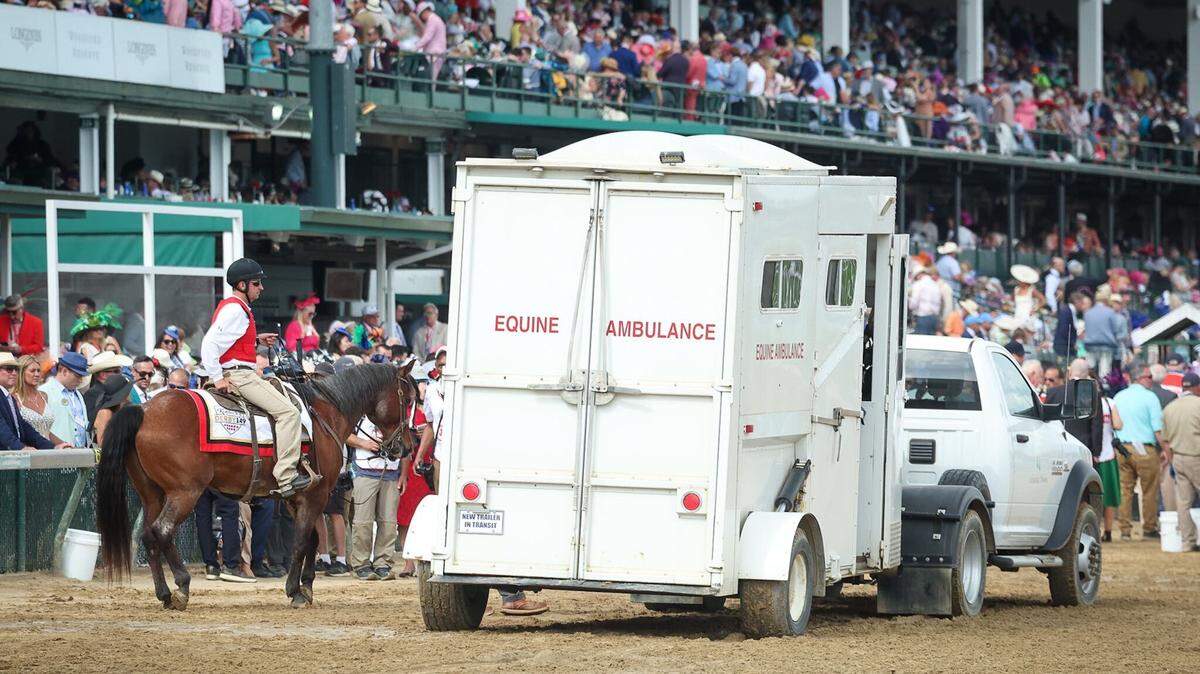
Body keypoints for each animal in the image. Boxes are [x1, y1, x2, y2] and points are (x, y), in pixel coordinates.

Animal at [94, 361, 416, 609]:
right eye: (411, 399)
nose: (407, 446)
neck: (324, 415)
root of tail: (144, 410)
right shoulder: (317, 495)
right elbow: (301, 542)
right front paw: (295, 591)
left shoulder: (298, 496)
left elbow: (311, 540)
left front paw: (307, 586)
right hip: (185, 492)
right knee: (163, 531)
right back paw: (182, 586)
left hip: (152, 495)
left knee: (149, 535)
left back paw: (163, 593)